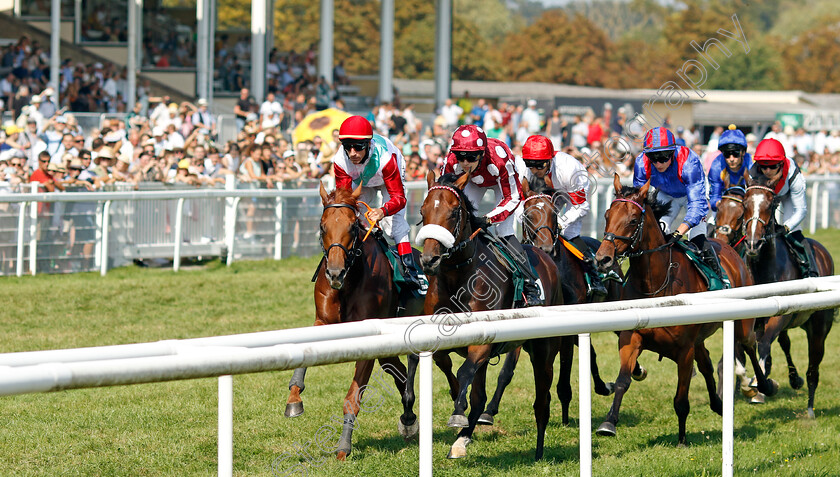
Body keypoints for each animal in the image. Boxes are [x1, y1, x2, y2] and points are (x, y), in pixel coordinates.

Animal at [284, 184, 426, 460]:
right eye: (322, 226)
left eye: (352, 227)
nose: (334, 273)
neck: (349, 281)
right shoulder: (323, 321)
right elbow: (305, 353)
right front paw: (294, 399)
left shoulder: (369, 341)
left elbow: (353, 397)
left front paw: (343, 447)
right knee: (399, 373)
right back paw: (408, 418)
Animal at [408, 170, 560, 458]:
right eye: (422, 211)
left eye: (454, 212)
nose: (429, 260)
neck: (458, 276)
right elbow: (443, 365)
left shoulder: (482, 343)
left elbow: (464, 372)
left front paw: (457, 412)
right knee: (480, 397)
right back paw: (461, 440)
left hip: (543, 349)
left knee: (542, 398)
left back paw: (539, 451)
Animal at [592, 175, 780, 446]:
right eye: (607, 215)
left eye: (633, 220)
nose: (602, 259)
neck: (655, 285)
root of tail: (731, 250)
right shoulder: (631, 337)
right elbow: (622, 381)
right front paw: (608, 423)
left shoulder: (684, 350)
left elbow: (681, 400)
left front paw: (681, 439)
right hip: (700, 338)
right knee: (708, 364)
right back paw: (719, 404)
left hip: (741, 325)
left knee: (750, 346)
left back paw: (763, 386)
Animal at [740, 173, 832, 414]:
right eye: (745, 203)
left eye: (770, 204)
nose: (752, 243)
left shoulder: (780, 313)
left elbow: (763, 344)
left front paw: (760, 383)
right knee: (785, 343)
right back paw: (794, 379)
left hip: (819, 325)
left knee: (813, 365)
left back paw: (809, 409)